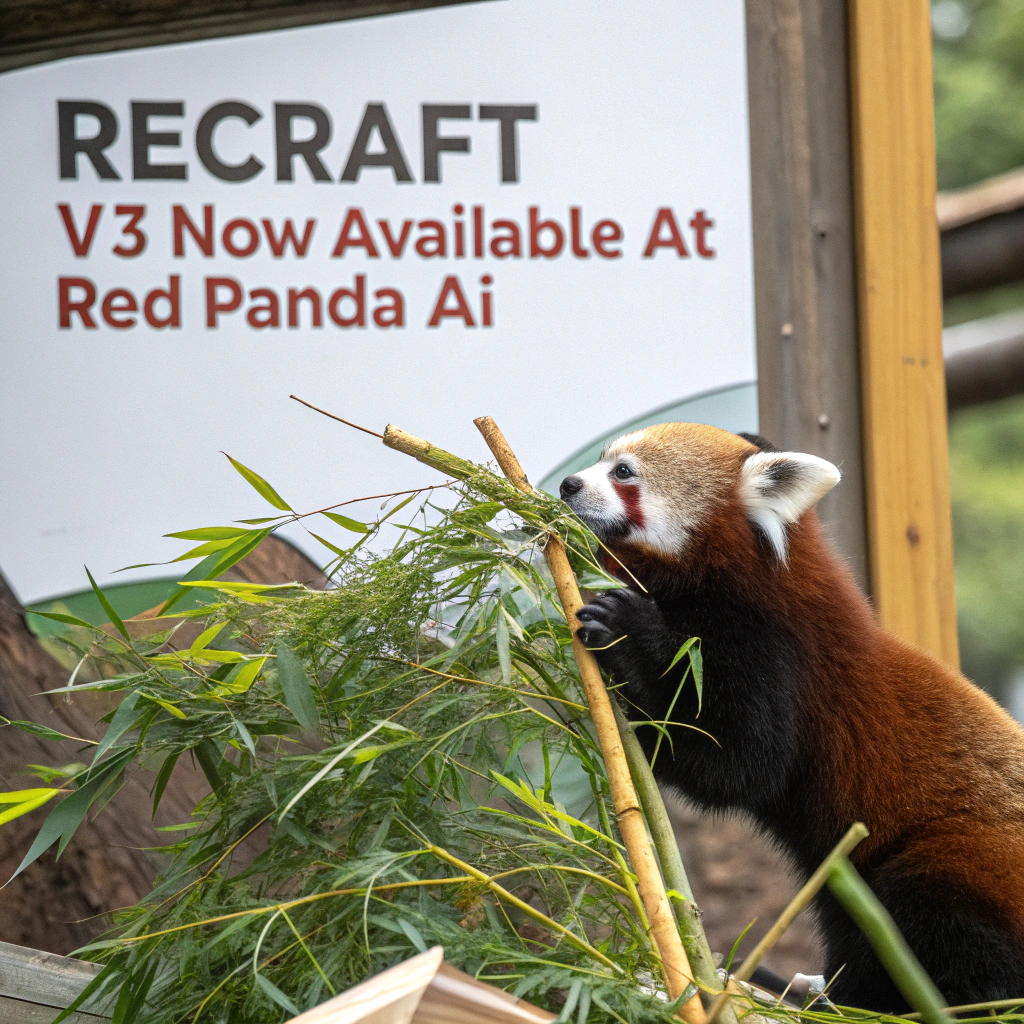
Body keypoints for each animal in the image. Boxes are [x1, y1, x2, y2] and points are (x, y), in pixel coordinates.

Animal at [559, 422, 1024, 1013]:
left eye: (623, 473)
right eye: (601, 460)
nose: (569, 484)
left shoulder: (776, 658)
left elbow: (741, 766)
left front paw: (629, 648)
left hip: (960, 859)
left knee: (939, 922)